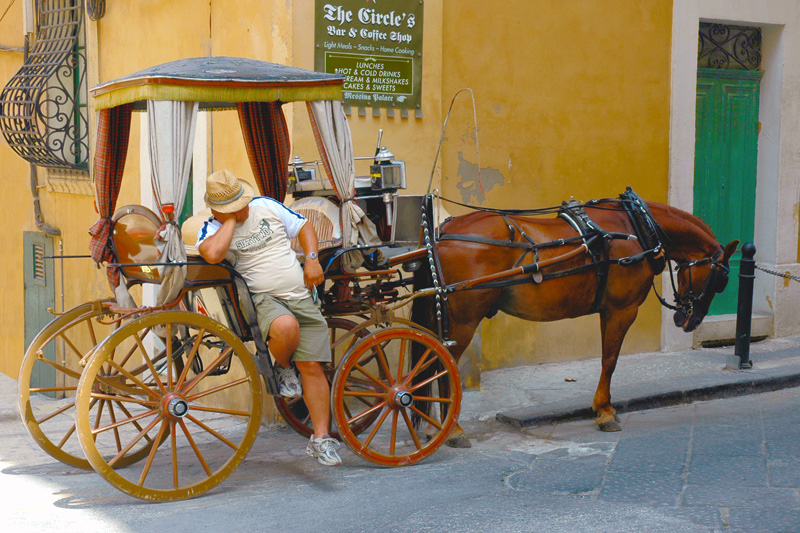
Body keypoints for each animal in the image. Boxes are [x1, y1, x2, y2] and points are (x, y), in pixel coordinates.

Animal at [412, 191, 736, 440]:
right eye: (720, 281)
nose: (690, 321)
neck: (638, 226)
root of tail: (440, 235)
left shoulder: (612, 310)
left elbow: (608, 358)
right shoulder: (622, 309)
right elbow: (610, 360)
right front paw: (605, 412)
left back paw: (434, 426)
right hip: (464, 319)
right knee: (443, 363)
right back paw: (451, 430)